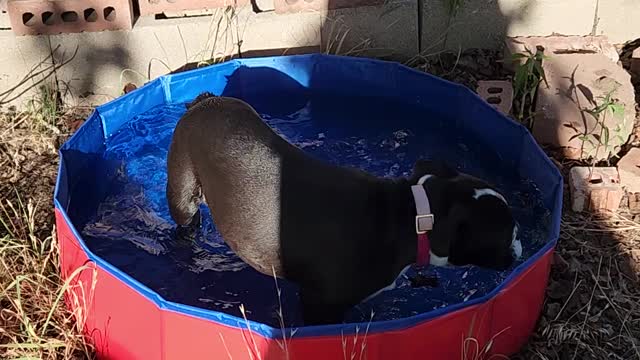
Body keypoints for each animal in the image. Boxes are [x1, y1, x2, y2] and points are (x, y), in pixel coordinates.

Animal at [165, 92, 520, 324]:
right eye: (507, 234)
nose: (519, 244)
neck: (411, 215)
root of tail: (206, 100)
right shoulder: (319, 302)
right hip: (183, 191)